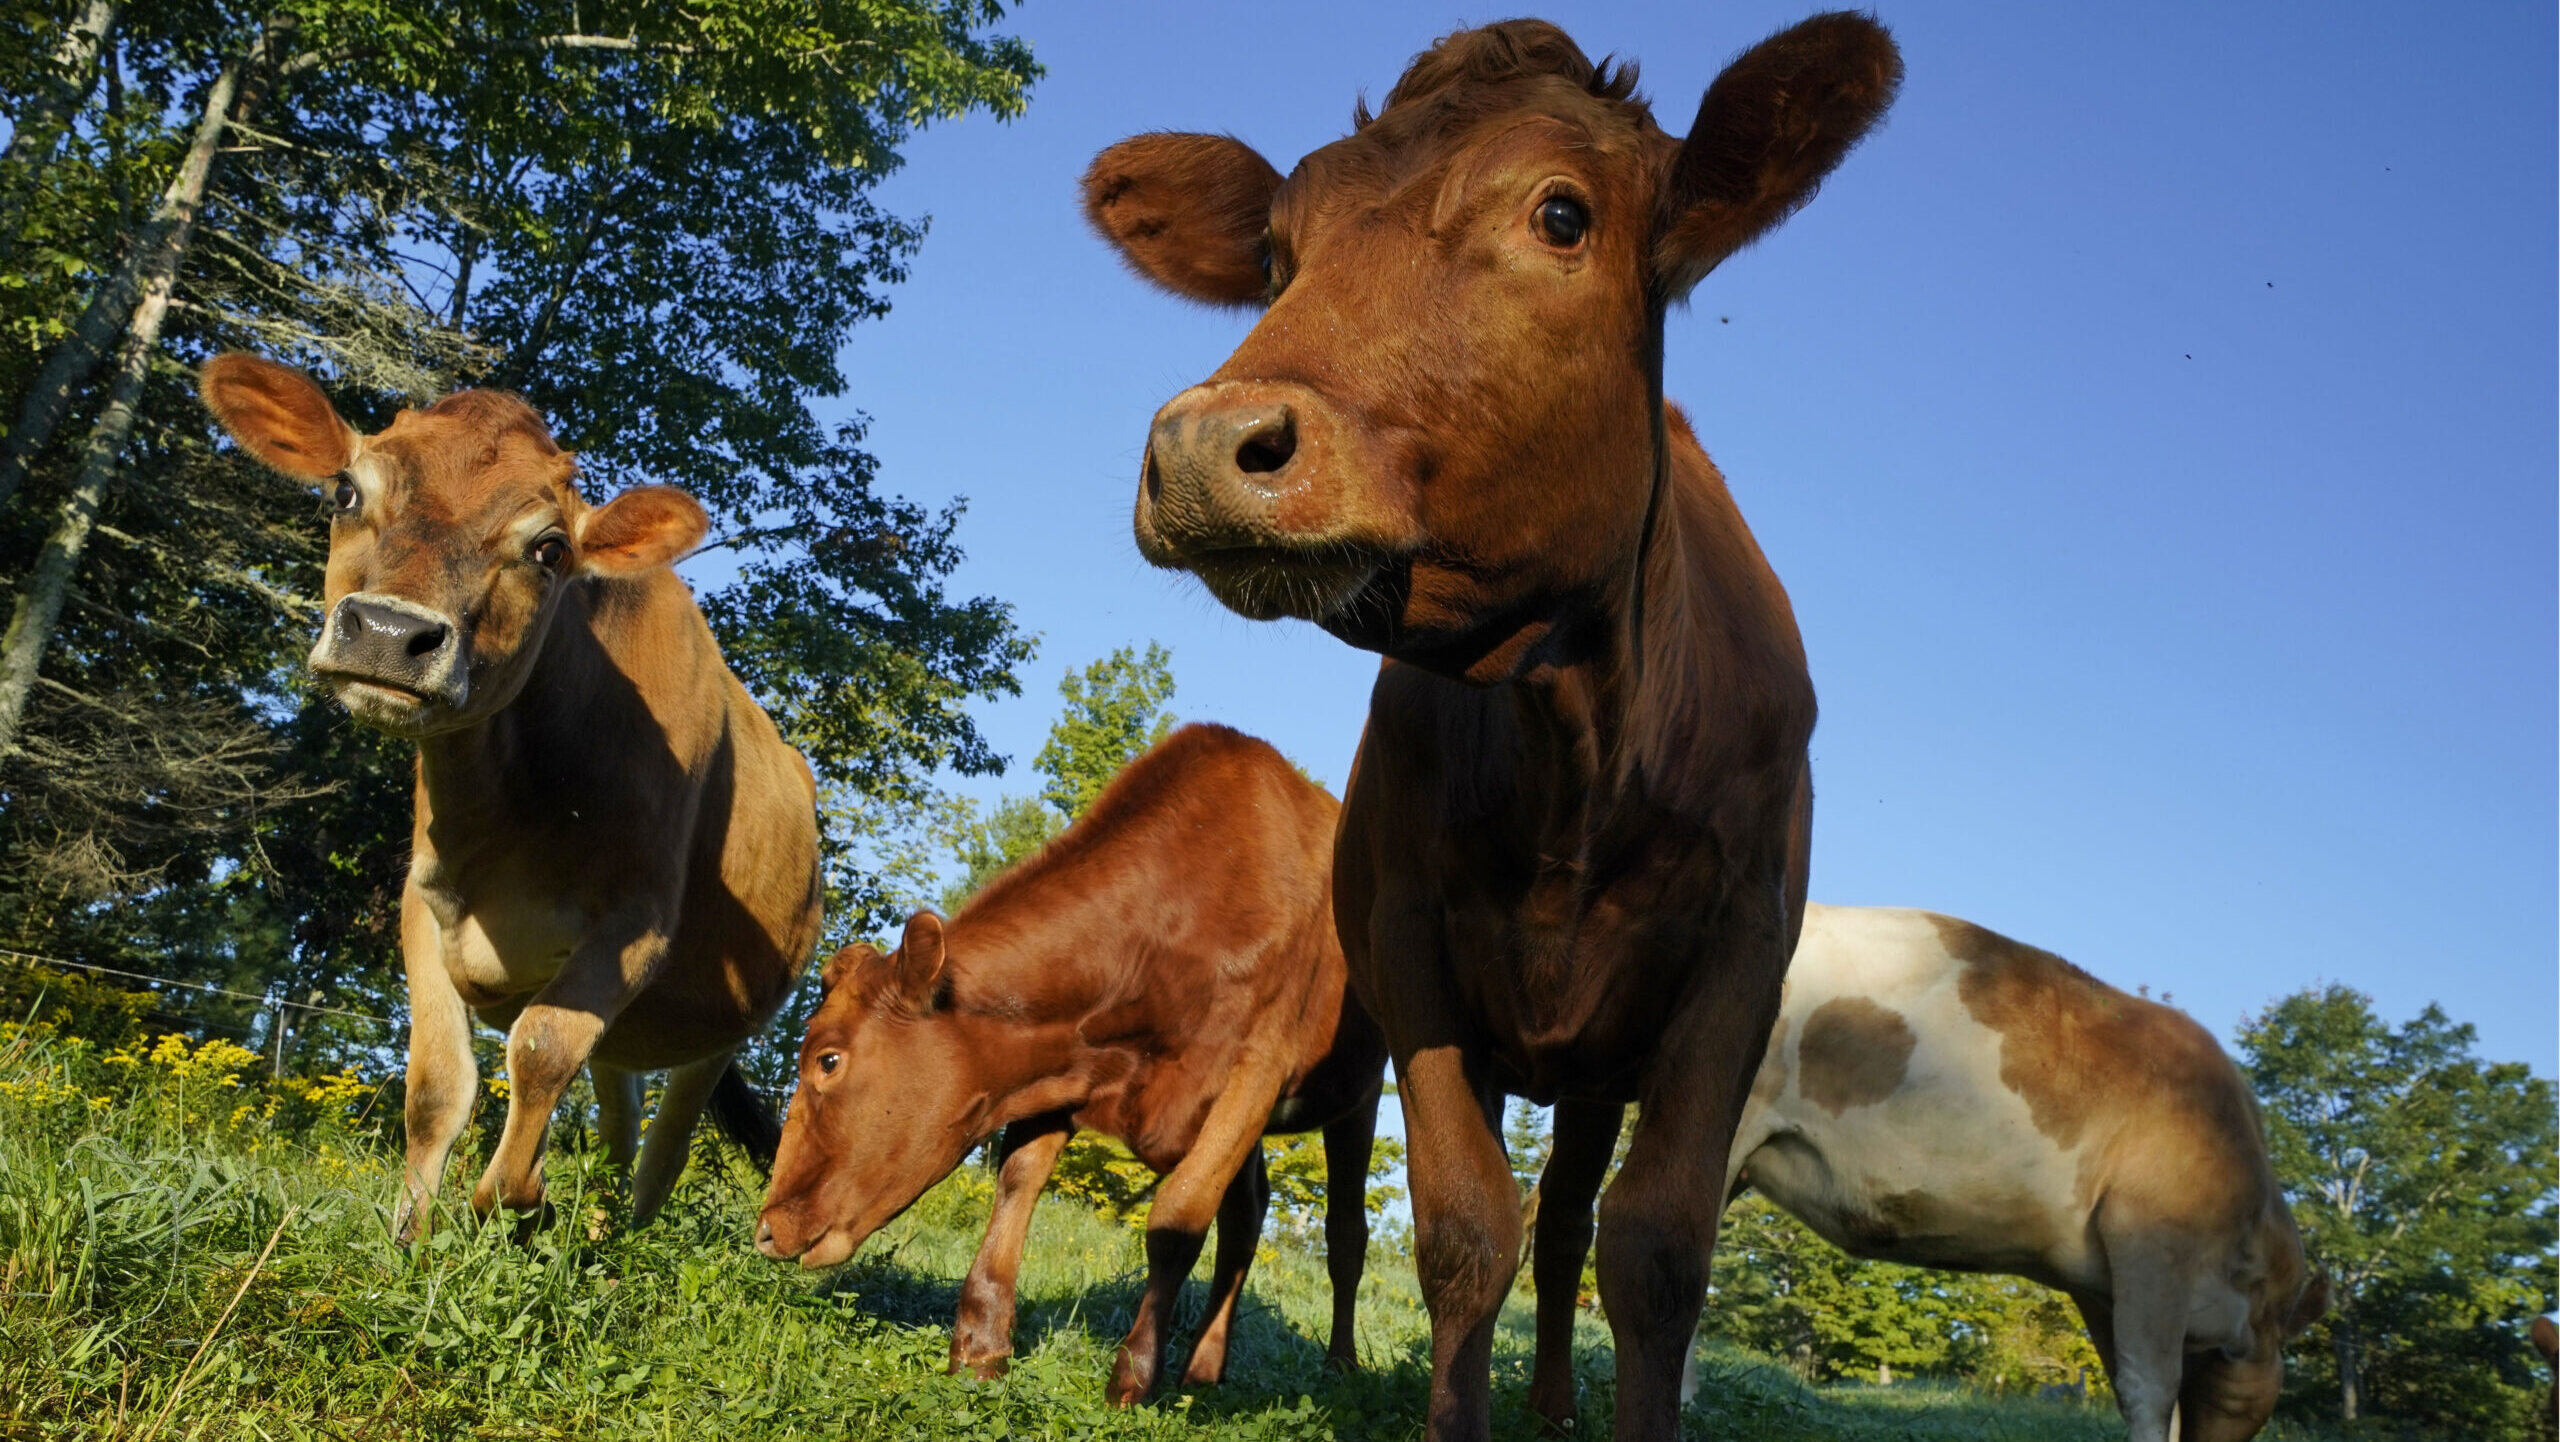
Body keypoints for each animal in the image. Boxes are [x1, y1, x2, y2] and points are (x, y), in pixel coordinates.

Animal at [199, 358, 819, 1239]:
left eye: (549, 547)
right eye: (346, 492)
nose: (388, 633)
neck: (511, 819)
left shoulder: (634, 928)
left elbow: (539, 1050)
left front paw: (514, 1202)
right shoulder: (424, 902)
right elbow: (436, 1087)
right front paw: (412, 1238)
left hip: (726, 1029)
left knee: (663, 1150)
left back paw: (617, 1240)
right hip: (631, 1041)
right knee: (619, 1118)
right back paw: (592, 1232)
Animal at [747, 727, 1392, 1403]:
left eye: (829, 1060)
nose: (766, 1229)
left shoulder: (1255, 1071)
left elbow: (1178, 1216)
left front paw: (1132, 1378)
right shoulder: (1057, 1069)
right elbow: (1016, 1185)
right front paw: (979, 1351)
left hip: (1358, 1092)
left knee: (1345, 1233)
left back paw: (1338, 1368)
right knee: (1247, 1218)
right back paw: (1204, 1372)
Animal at [1080, 14, 1904, 1442]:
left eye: (1560, 214)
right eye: (1278, 255)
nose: (1201, 448)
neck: (1576, 738)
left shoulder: (1735, 964)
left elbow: (1655, 1244)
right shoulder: (1407, 941)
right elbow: (1467, 1227)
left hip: (1597, 1065)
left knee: (1576, 1222)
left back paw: (1560, 1400)